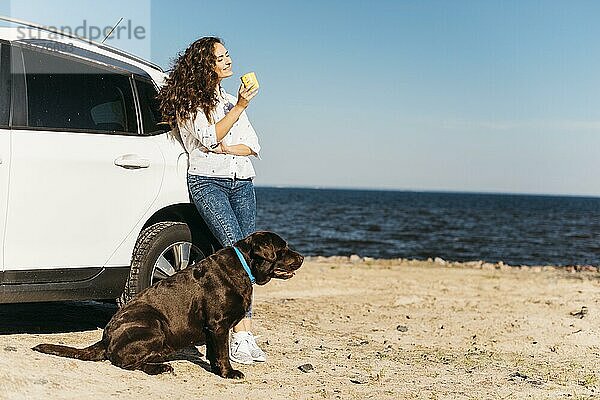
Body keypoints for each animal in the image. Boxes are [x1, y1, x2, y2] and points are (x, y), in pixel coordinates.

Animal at [33, 231, 304, 378]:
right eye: (283, 248)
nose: (302, 257)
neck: (243, 266)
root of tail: (106, 337)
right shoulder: (218, 325)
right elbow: (222, 353)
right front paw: (229, 373)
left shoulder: (213, 329)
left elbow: (214, 353)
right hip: (154, 323)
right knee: (124, 361)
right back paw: (161, 367)